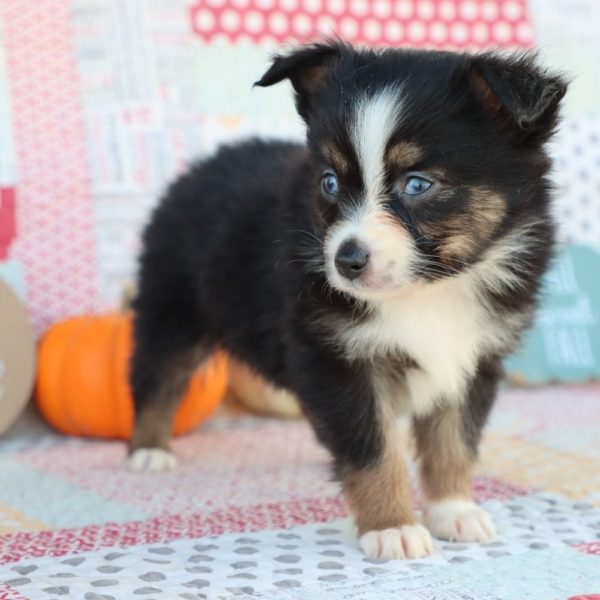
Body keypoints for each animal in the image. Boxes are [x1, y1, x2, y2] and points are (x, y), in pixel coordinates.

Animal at [127, 41, 568, 556]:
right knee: (158, 376)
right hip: (172, 306)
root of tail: (199, 167)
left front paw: (452, 511)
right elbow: (371, 447)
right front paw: (392, 527)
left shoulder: (472, 357)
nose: (345, 261)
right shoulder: (336, 355)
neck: (427, 289)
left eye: (418, 184)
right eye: (330, 182)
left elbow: (453, 442)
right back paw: (148, 451)